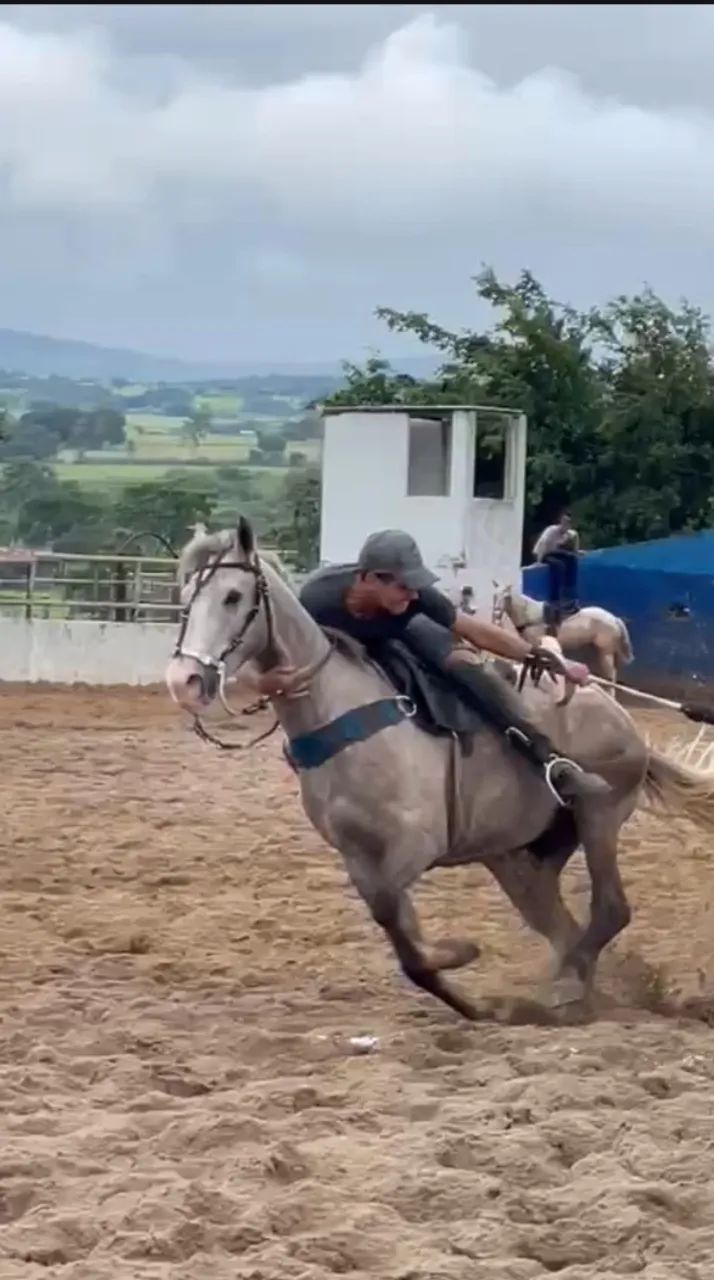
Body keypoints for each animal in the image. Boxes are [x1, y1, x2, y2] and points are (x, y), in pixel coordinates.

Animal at [493, 583, 634, 686]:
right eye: (495, 595)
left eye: (506, 597)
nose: (496, 615)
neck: (529, 614)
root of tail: (614, 618)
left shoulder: (536, 644)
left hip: (605, 652)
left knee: (611, 676)